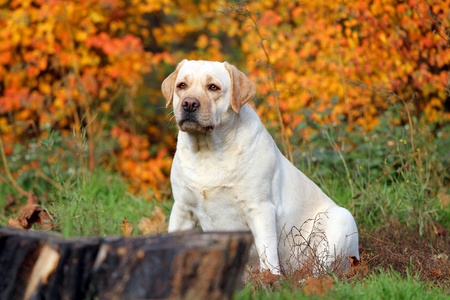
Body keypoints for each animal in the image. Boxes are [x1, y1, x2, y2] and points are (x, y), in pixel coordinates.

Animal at [162, 59, 358, 276]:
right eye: (182, 85)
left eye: (213, 87)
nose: (189, 103)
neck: (207, 152)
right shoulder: (182, 209)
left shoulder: (260, 208)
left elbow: (268, 253)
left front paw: (270, 279)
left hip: (340, 220)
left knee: (323, 270)